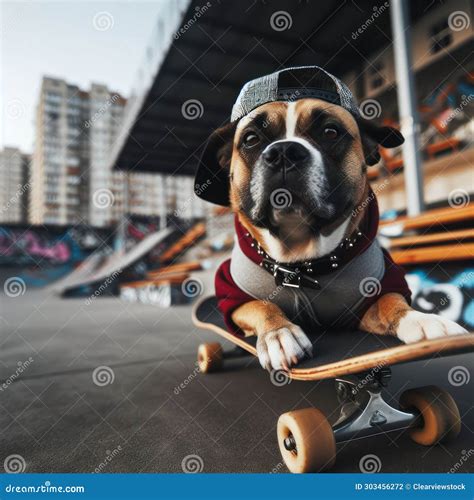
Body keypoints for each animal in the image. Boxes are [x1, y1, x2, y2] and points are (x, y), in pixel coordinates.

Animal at [193, 66, 466, 372]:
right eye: (251, 139)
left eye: (330, 132)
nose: (284, 151)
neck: (302, 259)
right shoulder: (234, 296)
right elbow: (262, 305)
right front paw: (279, 333)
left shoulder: (372, 299)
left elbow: (391, 302)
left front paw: (422, 320)